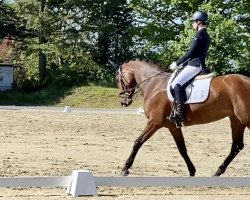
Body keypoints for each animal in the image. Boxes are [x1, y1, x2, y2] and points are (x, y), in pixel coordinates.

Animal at [110, 59, 250, 177]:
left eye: (117, 79)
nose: (124, 101)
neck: (154, 84)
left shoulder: (154, 122)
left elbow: (138, 142)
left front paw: (125, 168)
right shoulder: (173, 127)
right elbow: (182, 149)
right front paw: (192, 171)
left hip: (245, 118)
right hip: (236, 120)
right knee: (236, 146)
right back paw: (218, 172)